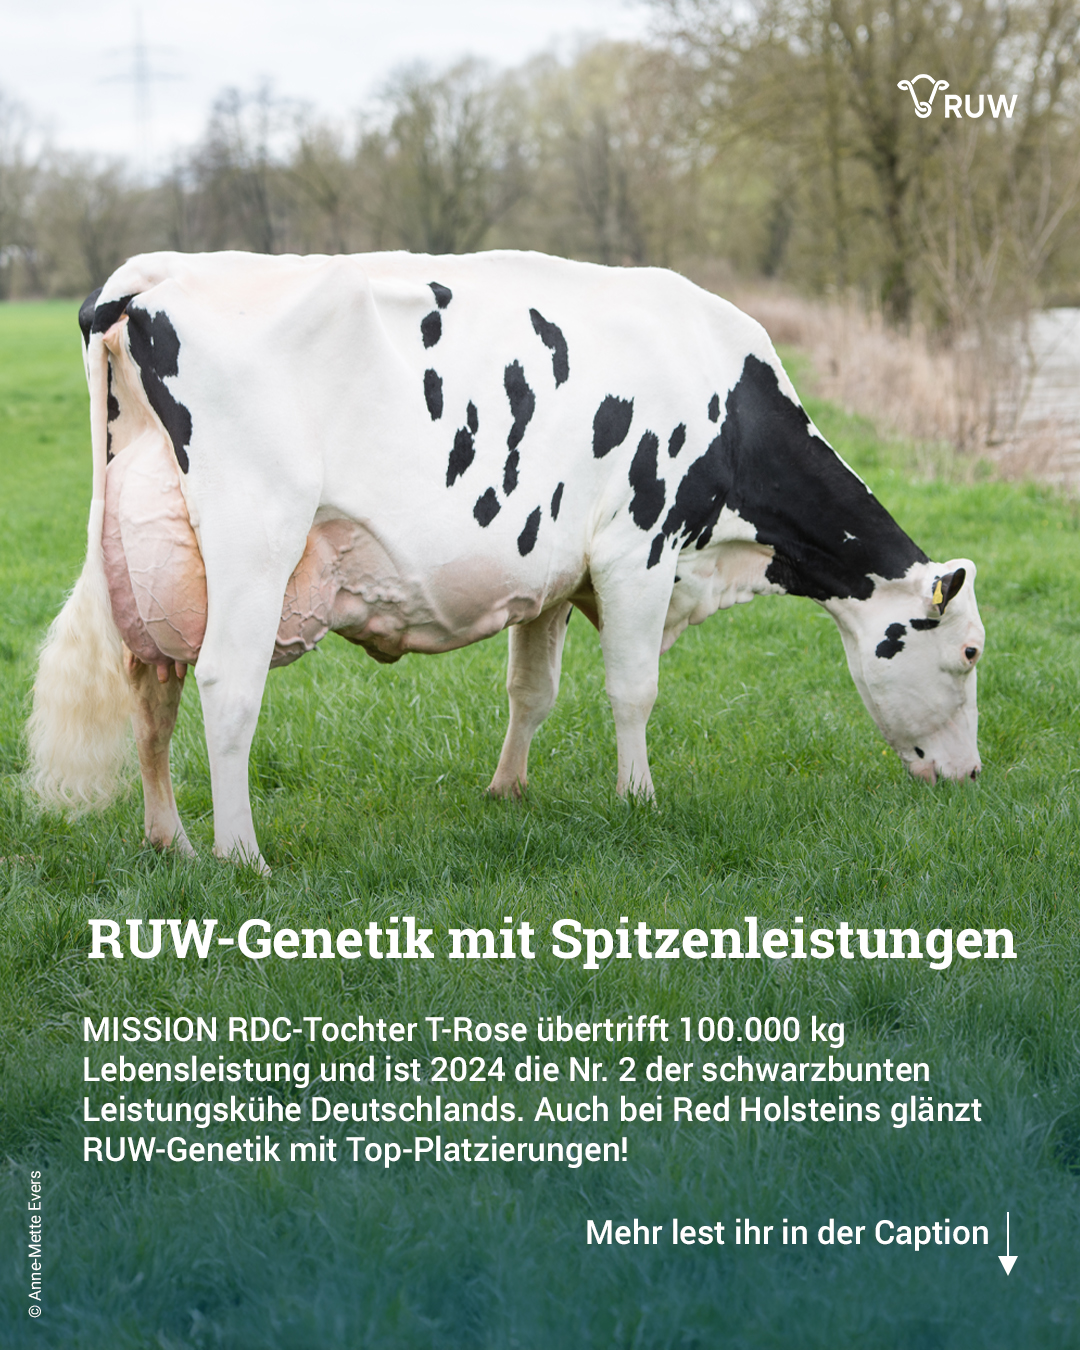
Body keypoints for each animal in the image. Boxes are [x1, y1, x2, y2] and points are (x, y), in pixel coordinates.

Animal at [28, 250, 984, 873]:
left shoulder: (556, 569)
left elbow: (534, 690)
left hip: (149, 563)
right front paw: (638, 798)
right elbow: (633, 690)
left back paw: (172, 842)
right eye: (970, 653)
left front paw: (508, 790)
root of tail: (151, 278)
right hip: (256, 536)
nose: (971, 776)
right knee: (228, 686)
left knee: (150, 688)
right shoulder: (637, 545)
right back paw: (242, 857)